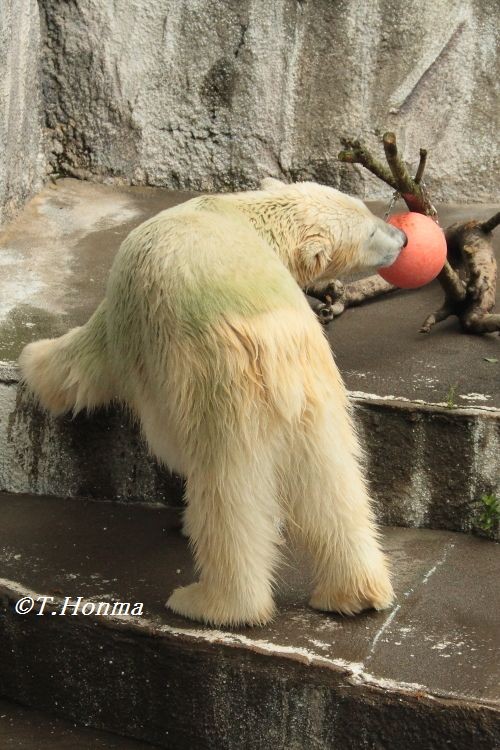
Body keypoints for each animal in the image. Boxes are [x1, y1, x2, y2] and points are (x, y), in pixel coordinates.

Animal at [18, 179, 406, 624]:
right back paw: (356, 593)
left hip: (220, 391)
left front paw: (32, 359)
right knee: (335, 484)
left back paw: (211, 602)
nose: (403, 237)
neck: (241, 213)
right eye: (370, 223)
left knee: (226, 494)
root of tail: (275, 347)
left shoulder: (130, 305)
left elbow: (87, 357)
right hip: (318, 396)